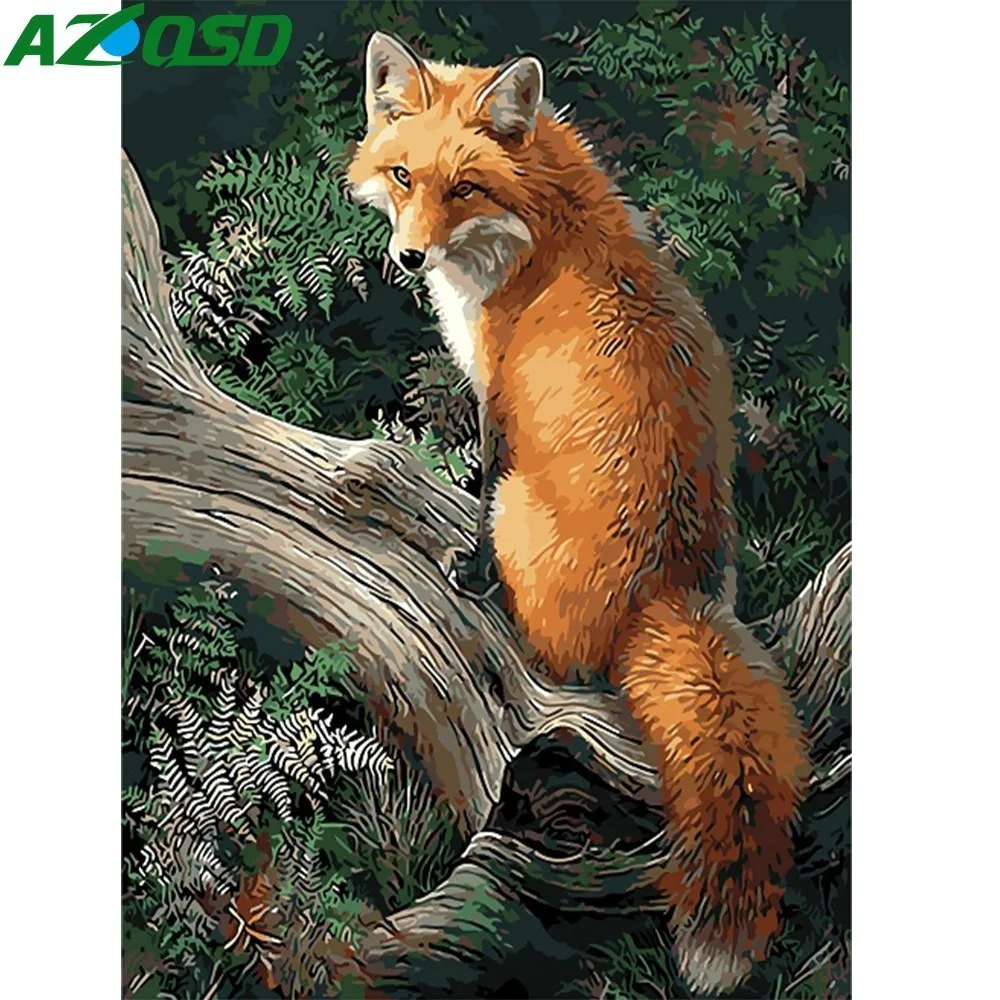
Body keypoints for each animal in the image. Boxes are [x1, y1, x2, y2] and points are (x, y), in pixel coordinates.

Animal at [347, 32, 810, 995]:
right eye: (405, 176)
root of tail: (668, 593)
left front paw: (467, 569)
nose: (409, 260)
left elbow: (481, 482)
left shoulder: (498, 397)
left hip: (528, 515)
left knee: (557, 654)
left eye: (465, 187)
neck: (544, 229)